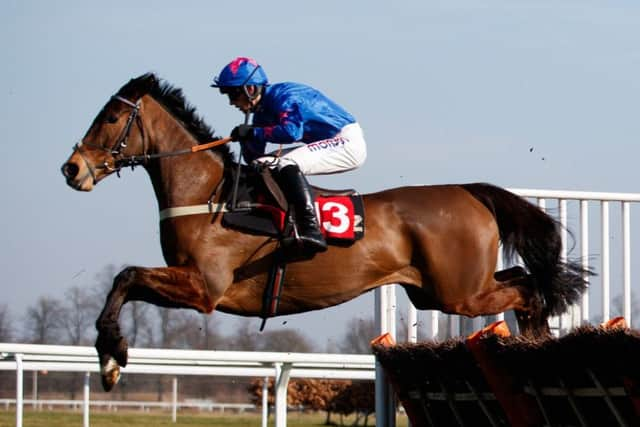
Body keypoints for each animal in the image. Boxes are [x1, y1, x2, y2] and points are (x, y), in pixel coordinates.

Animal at [61, 72, 592, 392]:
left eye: (111, 117)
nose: (72, 169)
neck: (209, 195)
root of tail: (469, 191)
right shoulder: (192, 283)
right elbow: (125, 279)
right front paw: (110, 357)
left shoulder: (204, 288)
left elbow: (126, 276)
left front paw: (111, 358)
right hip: (439, 291)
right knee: (525, 283)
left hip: (459, 292)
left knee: (528, 289)